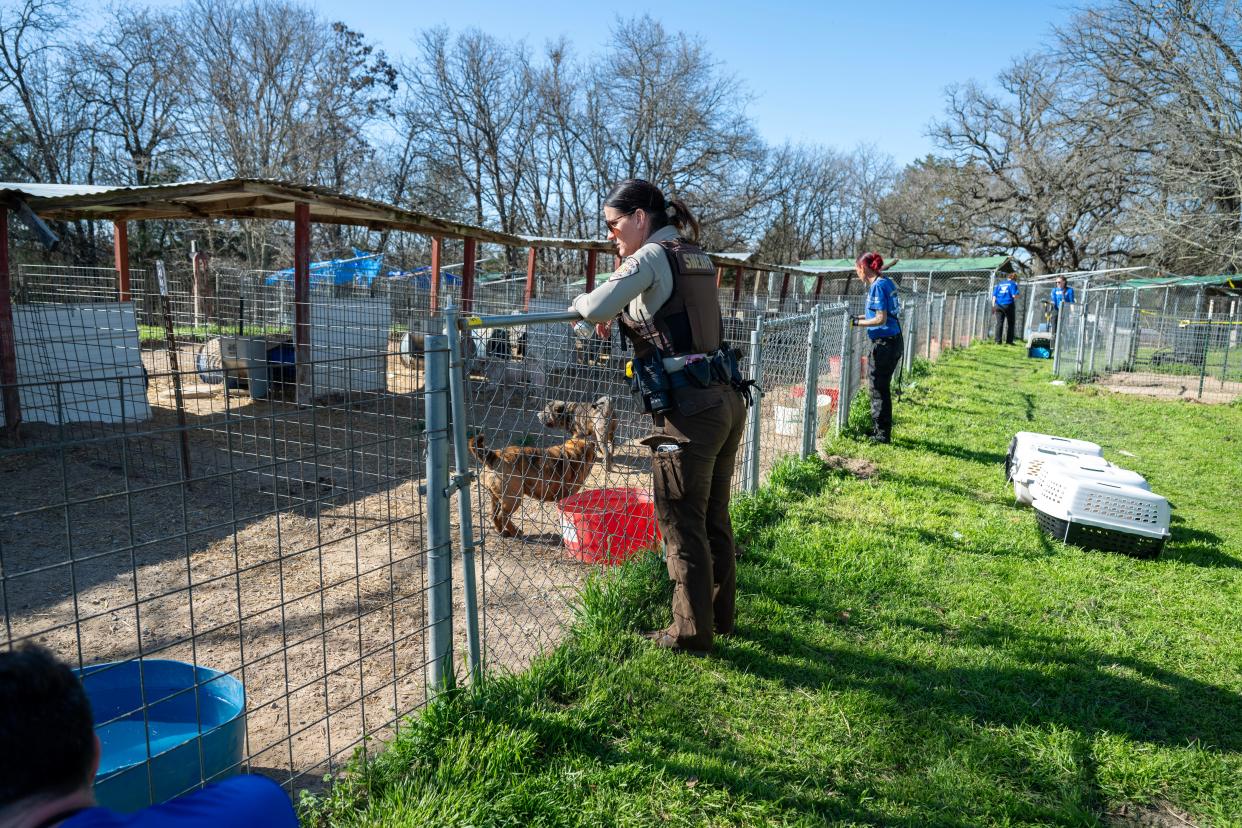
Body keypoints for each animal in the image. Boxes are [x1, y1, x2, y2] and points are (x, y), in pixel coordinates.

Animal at [469, 397, 616, 541]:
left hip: (496, 498)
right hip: (513, 497)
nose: (593, 444)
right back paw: (516, 532)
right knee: (503, 517)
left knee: (494, 515)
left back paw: (502, 532)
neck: (573, 453)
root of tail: (495, 456)